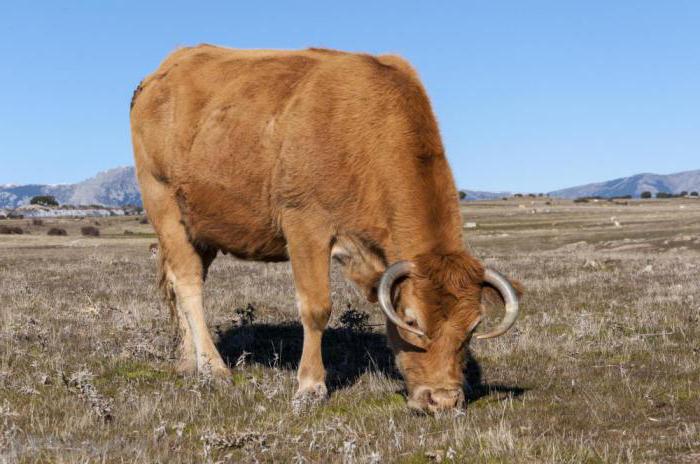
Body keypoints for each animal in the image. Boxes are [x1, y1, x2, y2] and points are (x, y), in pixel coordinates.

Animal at [130, 44, 520, 414]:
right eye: (412, 320)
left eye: (471, 329)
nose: (442, 400)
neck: (364, 130)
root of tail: (161, 73)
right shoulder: (305, 225)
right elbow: (316, 308)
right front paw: (310, 388)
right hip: (165, 207)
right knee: (188, 285)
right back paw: (214, 369)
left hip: (203, 227)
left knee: (179, 283)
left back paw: (188, 362)